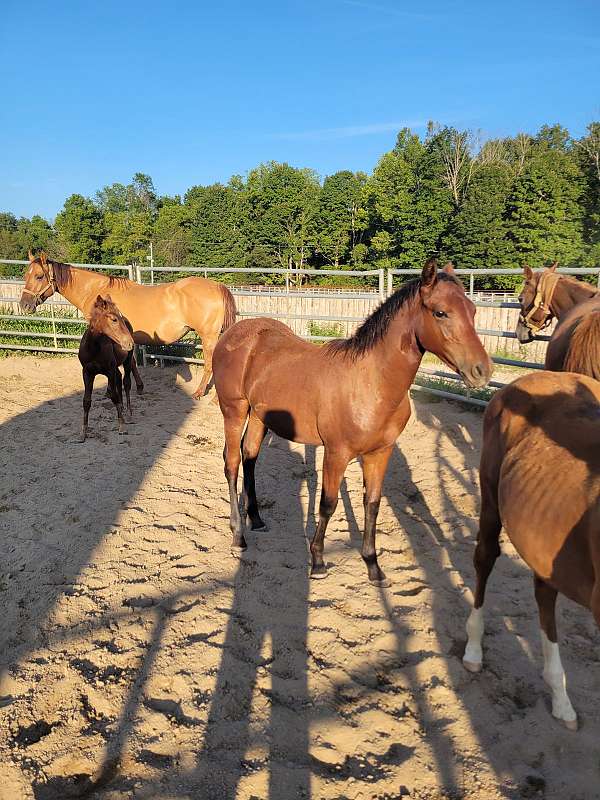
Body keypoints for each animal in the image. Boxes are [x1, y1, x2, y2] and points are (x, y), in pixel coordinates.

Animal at [21, 252, 237, 398]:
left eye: (39, 276)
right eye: (26, 275)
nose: (24, 305)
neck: (97, 292)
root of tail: (217, 286)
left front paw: (111, 391)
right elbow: (131, 362)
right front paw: (139, 386)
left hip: (208, 336)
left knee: (210, 364)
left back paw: (201, 393)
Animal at [77, 296, 136, 444]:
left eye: (120, 319)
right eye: (114, 319)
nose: (130, 343)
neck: (93, 348)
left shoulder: (109, 371)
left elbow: (113, 394)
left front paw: (121, 425)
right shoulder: (87, 372)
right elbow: (86, 401)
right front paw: (83, 433)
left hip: (127, 360)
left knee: (126, 382)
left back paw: (128, 414)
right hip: (115, 368)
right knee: (119, 379)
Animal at [211, 260, 492, 584]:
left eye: (473, 311)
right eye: (440, 312)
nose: (482, 371)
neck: (372, 382)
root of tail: (233, 334)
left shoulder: (380, 453)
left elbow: (372, 503)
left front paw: (372, 564)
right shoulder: (337, 453)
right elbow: (328, 504)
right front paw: (318, 561)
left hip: (258, 416)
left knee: (250, 457)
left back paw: (256, 519)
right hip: (234, 411)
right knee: (232, 463)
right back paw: (238, 535)